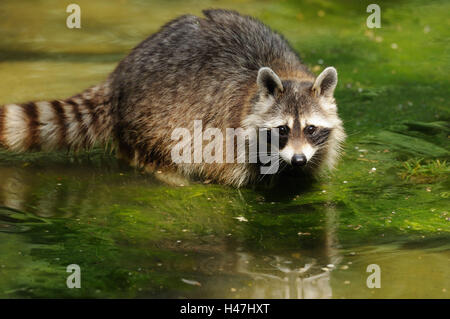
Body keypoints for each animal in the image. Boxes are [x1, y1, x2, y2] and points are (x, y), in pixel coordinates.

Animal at [0, 9, 346, 188]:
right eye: (282, 130)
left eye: (311, 128)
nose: (298, 160)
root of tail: (120, 76)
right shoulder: (227, 134)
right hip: (153, 114)